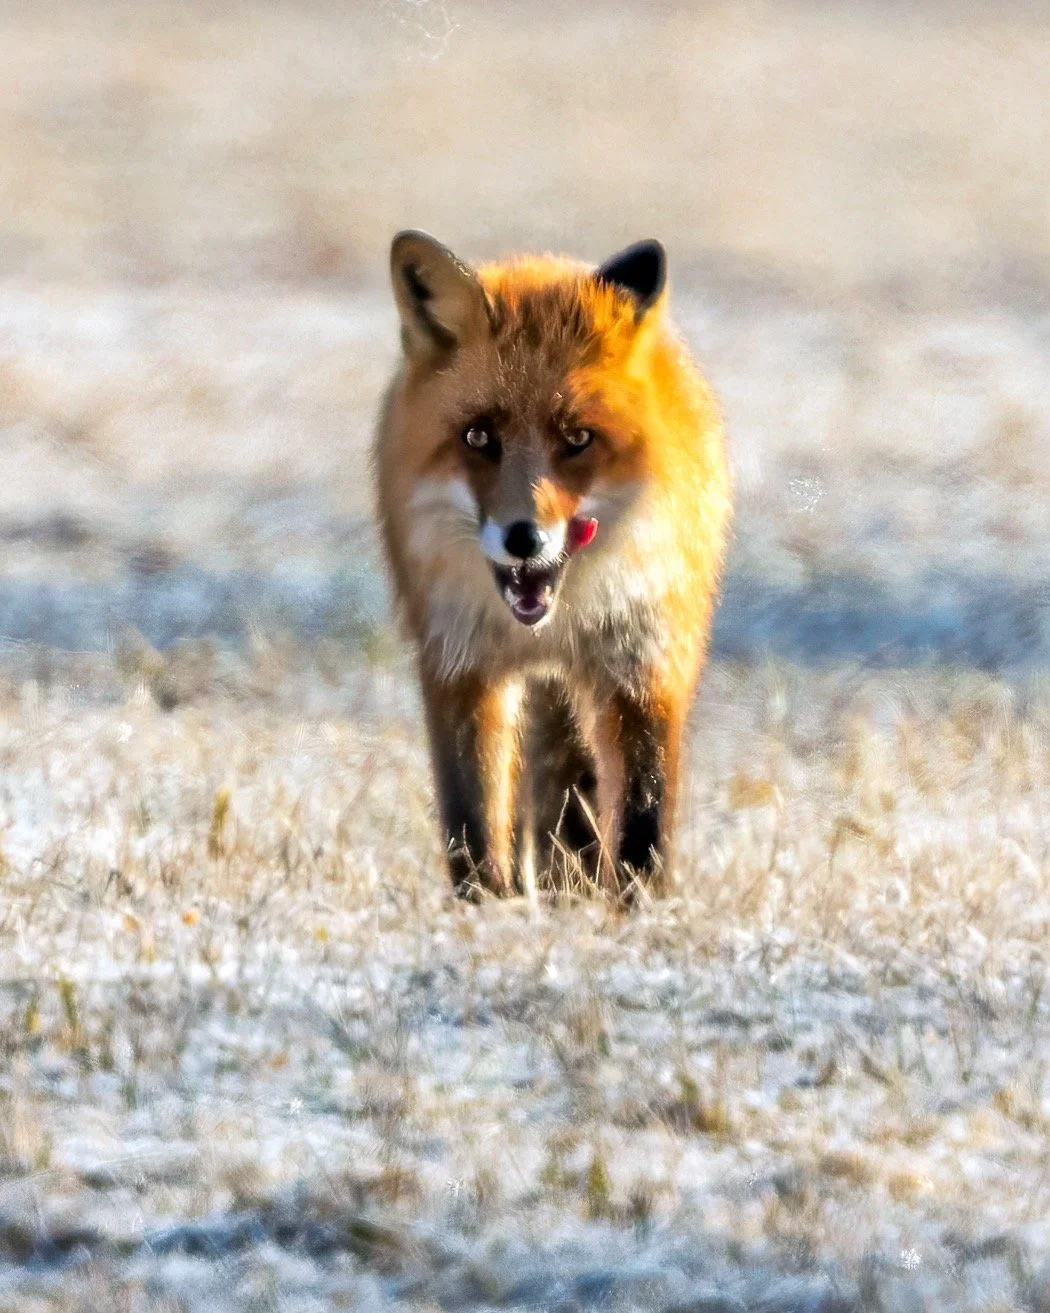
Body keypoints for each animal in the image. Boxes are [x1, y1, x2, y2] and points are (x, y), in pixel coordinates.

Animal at [373, 231, 731, 902]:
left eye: (578, 438)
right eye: (478, 437)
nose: (523, 538)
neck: (555, 621)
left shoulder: (644, 662)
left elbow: (644, 812)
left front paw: (639, 908)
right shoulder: (460, 665)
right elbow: (473, 818)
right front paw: (484, 906)